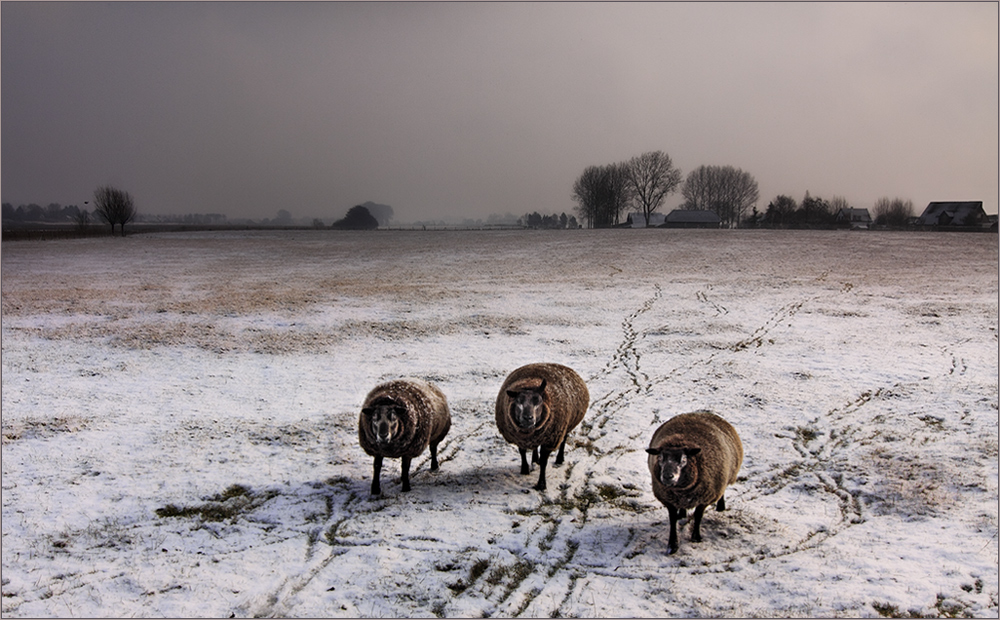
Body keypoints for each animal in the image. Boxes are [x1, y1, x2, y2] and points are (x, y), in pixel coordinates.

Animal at [648, 410, 744, 556]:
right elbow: (672, 520)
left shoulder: (706, 496)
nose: (667, 476)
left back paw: (720, 507)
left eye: (683, 460)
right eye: (660, 458)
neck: (681, 491)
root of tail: (701, 412)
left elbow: (698, 516)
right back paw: (682, 514)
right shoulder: (668, 499)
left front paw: (696, 537)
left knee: (722, 492)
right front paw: (672, 545)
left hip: (723, 477)